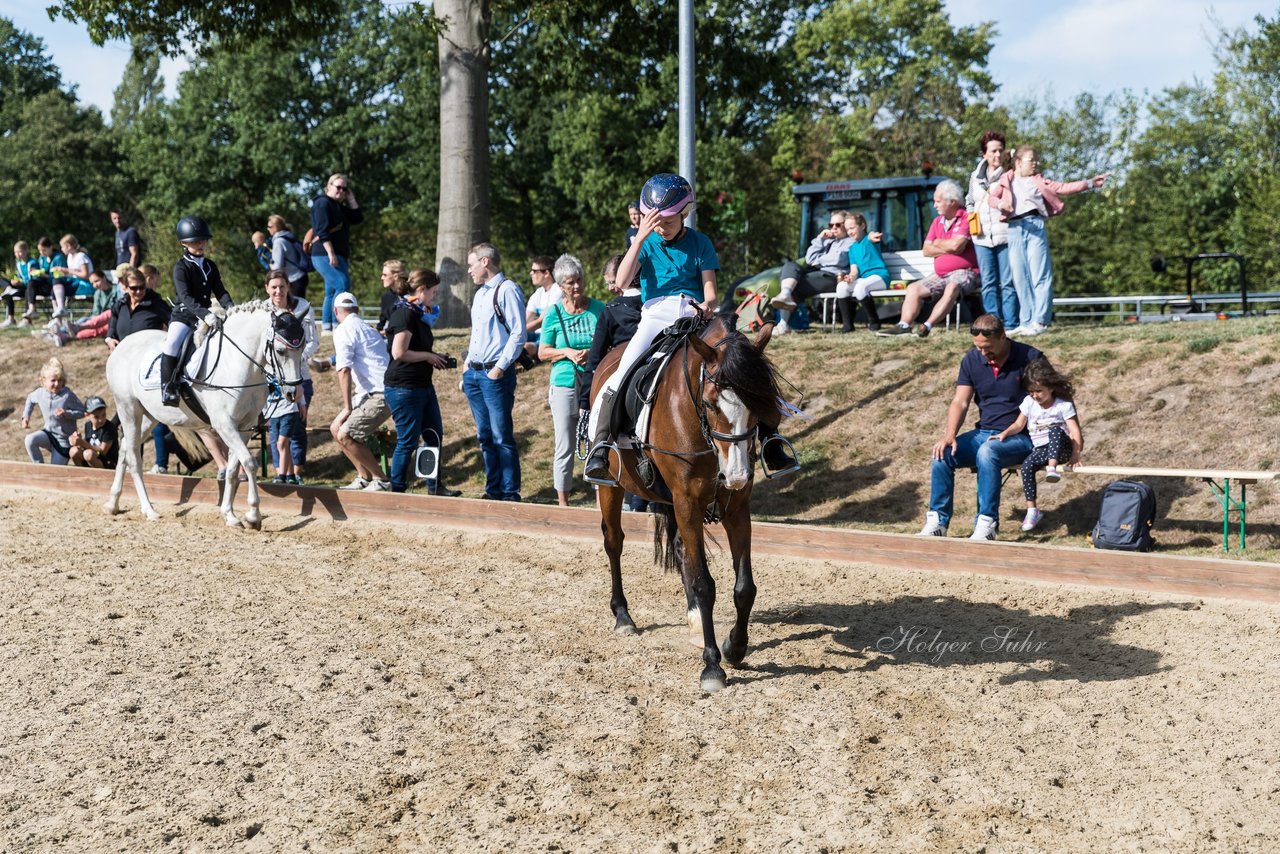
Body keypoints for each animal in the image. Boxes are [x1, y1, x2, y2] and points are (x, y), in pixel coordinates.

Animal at [104, 300, 304, 527]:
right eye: (280, 350)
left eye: (302, 348)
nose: (293, 393)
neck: (236, 363)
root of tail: (122, 344)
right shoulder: (224, 424)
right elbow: (249, 463)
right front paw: (253, 516)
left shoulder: (244, 427)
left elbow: (234, 469)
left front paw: (230, 515)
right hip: (128, 409)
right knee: (134, 458)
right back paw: (149, 510)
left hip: (149, 417)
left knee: (124, 449)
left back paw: (113, 504)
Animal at [593, 317, 783, 691]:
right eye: (710, 404)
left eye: (760, 402)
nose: (736, 474)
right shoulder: (688, 503)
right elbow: (703, 584)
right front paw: (712, 666)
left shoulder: (736, 506)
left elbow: (744, 587)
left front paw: (735, 647)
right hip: (612, 486)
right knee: (614, 542)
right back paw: (623, 616)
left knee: (682, 550)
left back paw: (695, 623)